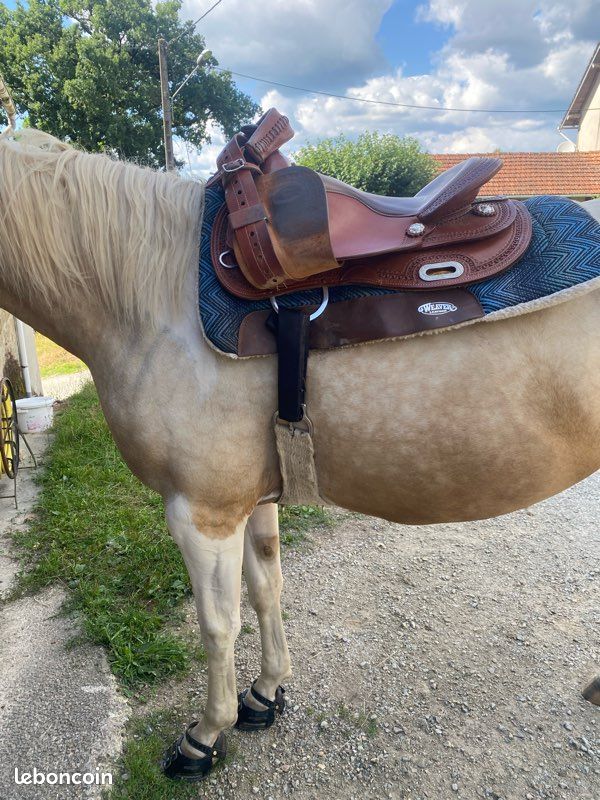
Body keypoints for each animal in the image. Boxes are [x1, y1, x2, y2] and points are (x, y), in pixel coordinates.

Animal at [1, 128, 599, 780]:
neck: (152, 300)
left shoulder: (201, 513)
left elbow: (217, 625)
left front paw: (204, 736)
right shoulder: (252, 499)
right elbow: (267, 588)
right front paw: (265, 694)